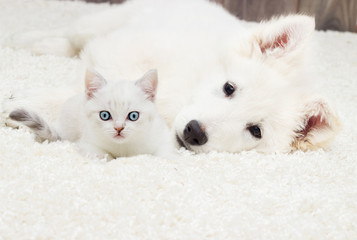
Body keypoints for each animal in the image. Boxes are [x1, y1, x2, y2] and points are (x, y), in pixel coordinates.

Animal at [9, 69, 174, 159]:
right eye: (104, 115)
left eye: (133, 116)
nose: (118, 128)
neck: (123, 149)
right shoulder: (87, 143)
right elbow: (104, 156)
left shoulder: (162, 135)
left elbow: (165, 153)